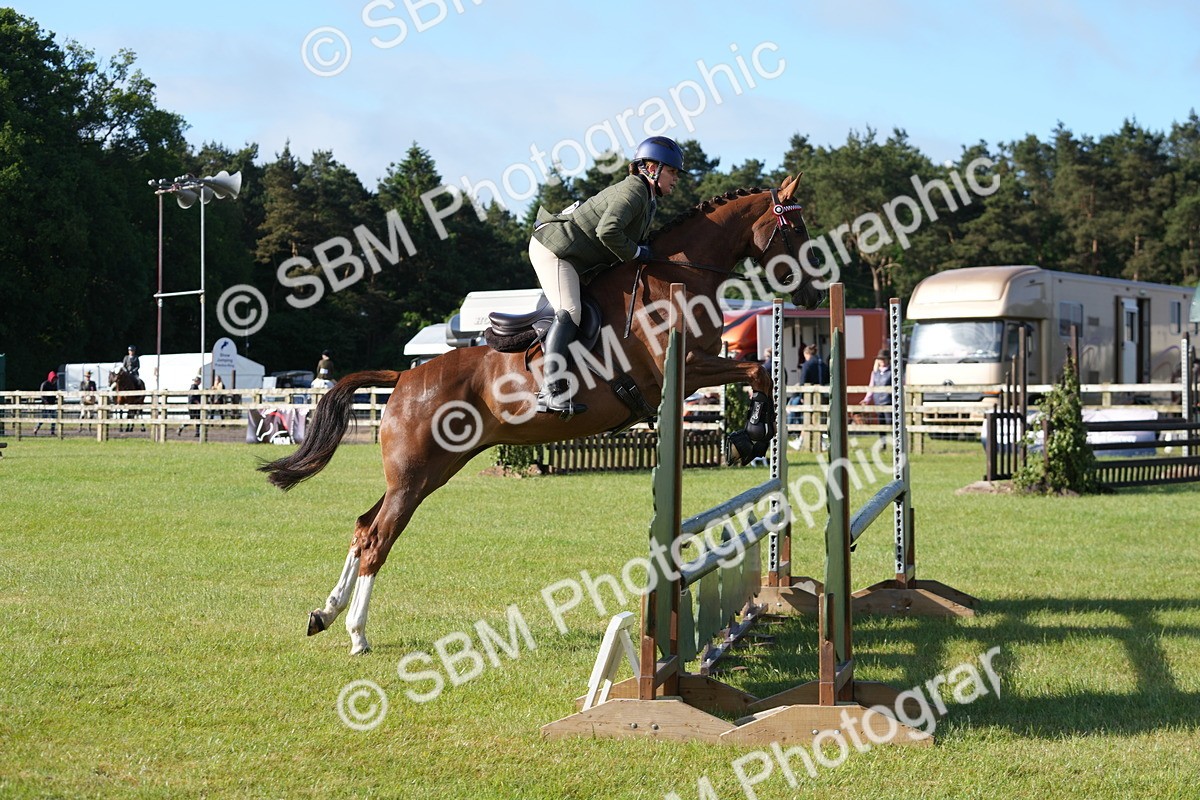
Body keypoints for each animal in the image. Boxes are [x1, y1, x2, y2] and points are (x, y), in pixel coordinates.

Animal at [260, 175, 825, 654]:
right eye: (795, 229)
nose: (814, 293)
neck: (679, 275)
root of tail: (403, 378)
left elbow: (759, 370)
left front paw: (754, 434)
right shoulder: (685, 366)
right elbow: (757, 370)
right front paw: (752, 435)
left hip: (432, 471)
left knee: (363, 528)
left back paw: (325, 615)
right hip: (414, 473)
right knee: (377, 538)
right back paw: (356, 634)